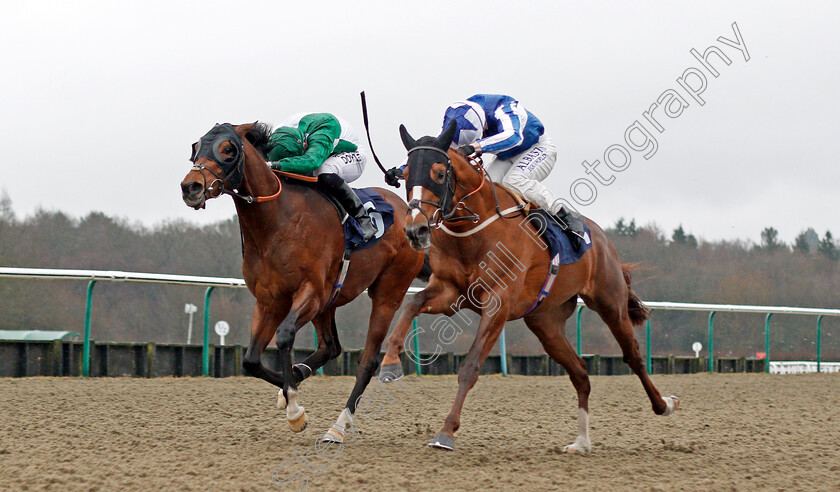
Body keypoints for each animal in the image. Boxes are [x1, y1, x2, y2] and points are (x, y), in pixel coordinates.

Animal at [179, 123, 426, 438]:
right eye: (196, 147)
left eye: (227, 149)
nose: (191, 187)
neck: (277, 222)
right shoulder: (269, 300)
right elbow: (250, 360)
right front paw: (289, 388)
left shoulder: (310, 293)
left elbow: (285, 336)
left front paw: (295, 410)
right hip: (331, 300)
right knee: (331, 347)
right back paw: (300, 374)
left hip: (387, 292)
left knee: (368, 360)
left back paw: (339, 425)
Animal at [378, 121, 676, 452]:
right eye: (406, 175)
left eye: (440, 173)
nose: (415, 230)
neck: (473, 232)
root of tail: (602, 239)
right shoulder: (450, 291)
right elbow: (411, 304)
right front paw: (390, 364)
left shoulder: (497, 304)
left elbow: (470, 367)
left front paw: (446, 432)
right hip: (546, 323)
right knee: (580, 373)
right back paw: (581, 442)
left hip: (610, 302)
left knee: (633, 356)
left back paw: (663, 404)